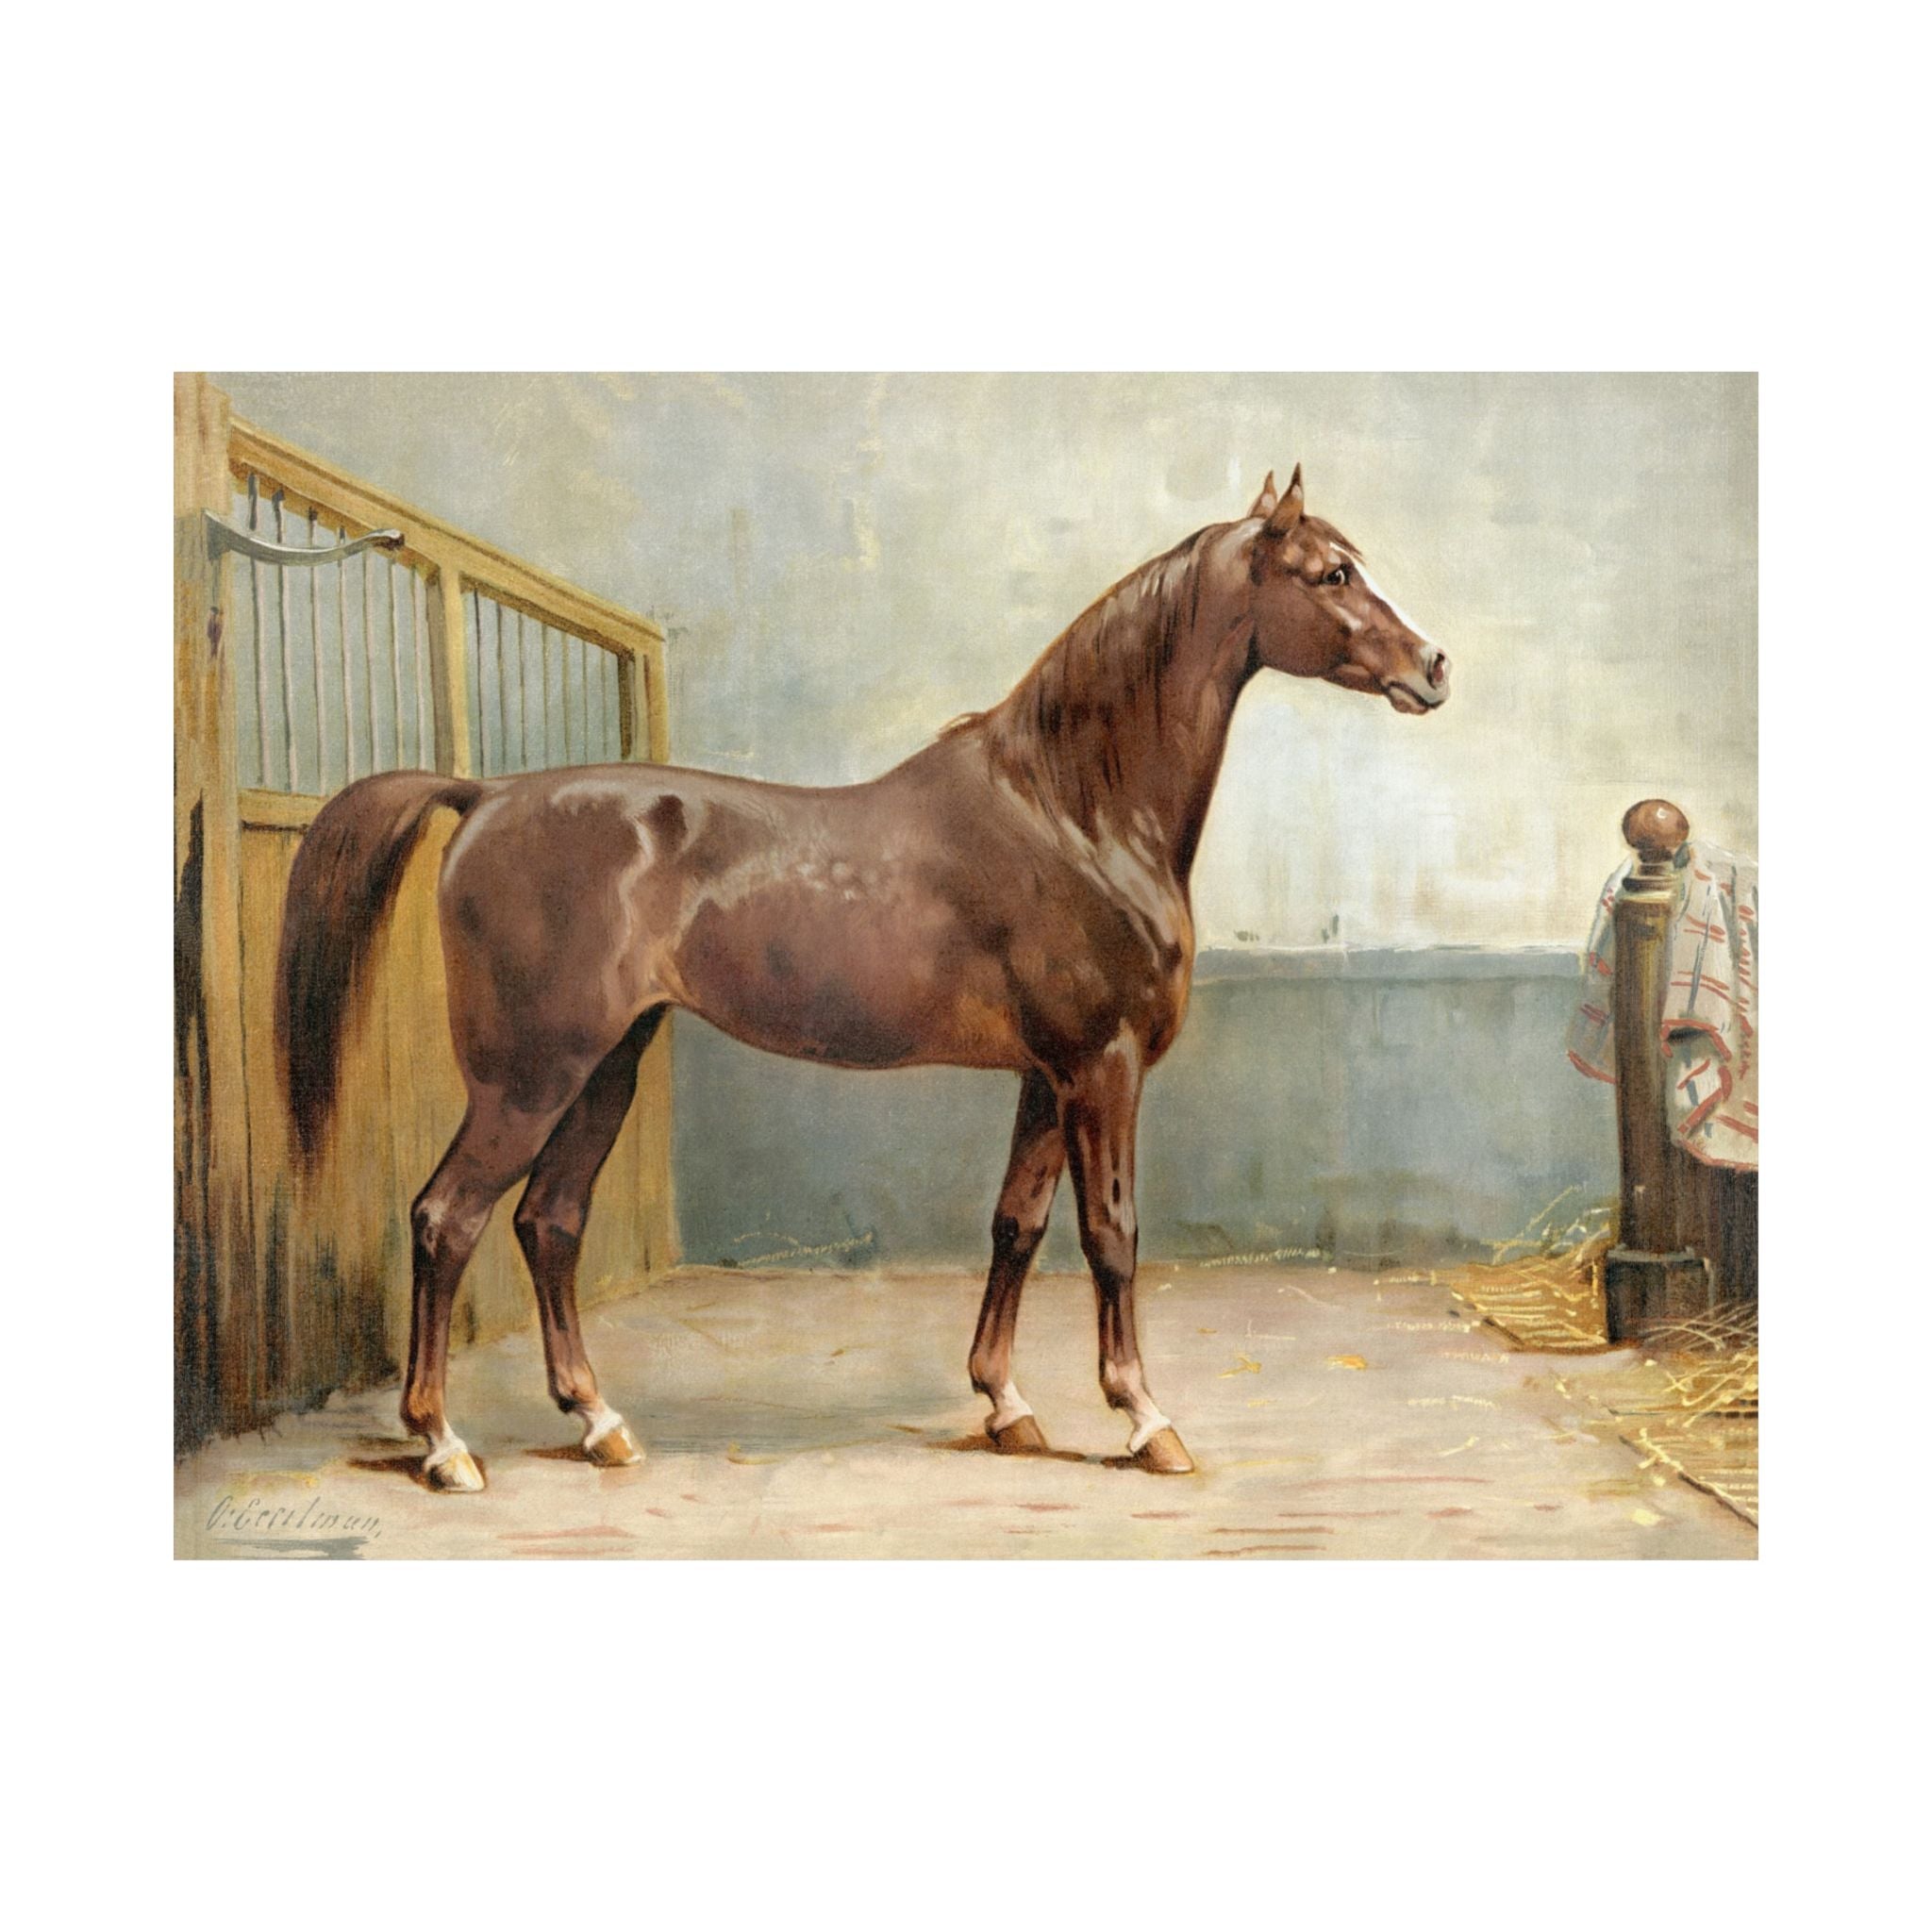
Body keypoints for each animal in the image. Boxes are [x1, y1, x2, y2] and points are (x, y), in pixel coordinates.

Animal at [275, 465, 1448, 1492]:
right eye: (1330, 573)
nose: (1433, 665)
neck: (1074, 811)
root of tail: (482, 797)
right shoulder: (1100, 1066)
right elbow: (1110, 1233)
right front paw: (1147, 1418)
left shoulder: (1044, 1076)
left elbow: (1016, 1225)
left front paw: (1006, 1403)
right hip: (530, 1074)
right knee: (446, 1218)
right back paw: (444, 1444)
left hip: (608, 1063)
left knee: (548, 1221)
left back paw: (602, 1422)